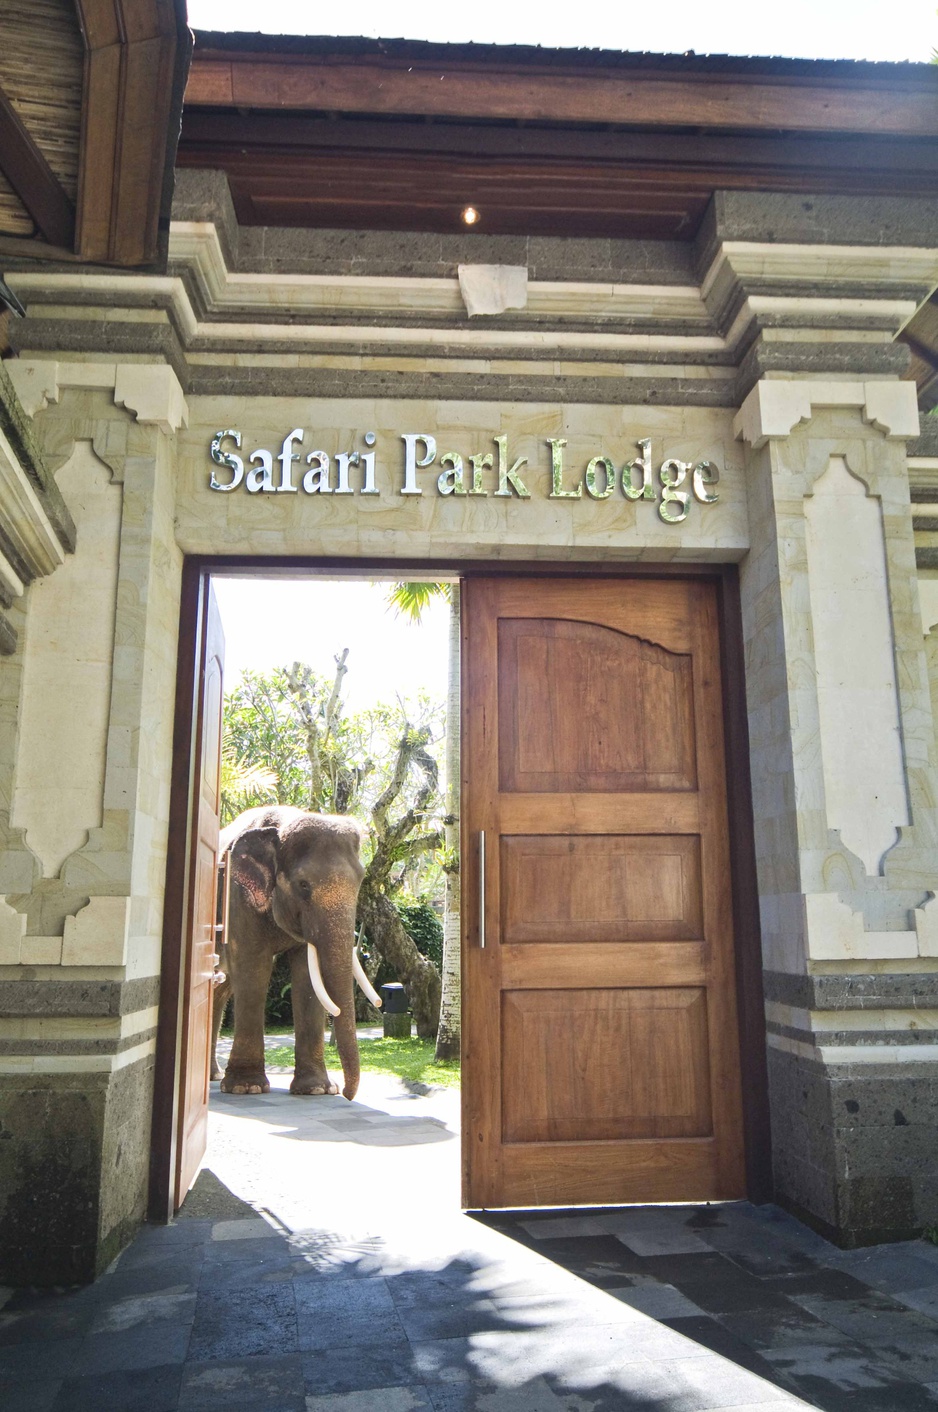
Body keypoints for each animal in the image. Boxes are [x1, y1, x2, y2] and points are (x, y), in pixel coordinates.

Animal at [209, 807, 381, 1101]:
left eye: (360, 882)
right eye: (303, 885)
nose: (347, 1094)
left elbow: (306, 977)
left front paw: (317, 1089)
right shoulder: (238, 897)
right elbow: (253, 968)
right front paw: (246, 1088)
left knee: (220, 990)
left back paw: (212, 1076)